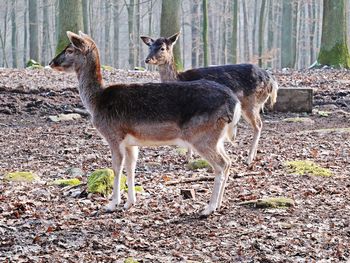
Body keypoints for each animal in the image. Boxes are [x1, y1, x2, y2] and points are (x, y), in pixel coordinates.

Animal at [48, 31, 241, 217]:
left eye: (69, 50)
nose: (51, 62)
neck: (97, 102)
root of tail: (234, 103)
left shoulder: (114, 135)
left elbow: (116, 168)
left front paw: (112, 204)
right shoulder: (131, 142)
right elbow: (131, 167)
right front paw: (129, 203)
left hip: (202, 135)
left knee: (221, 164)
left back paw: (209, 208)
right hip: (217, 137)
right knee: (229, 161)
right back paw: (219, 204)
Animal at [140, 32, 278, 165]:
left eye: (162, 48)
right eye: (150, 47)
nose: (147, 60)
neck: (179, 79)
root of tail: (271, 81)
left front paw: (189, 157)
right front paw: (188, 157)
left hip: (251, 102)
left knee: (258, 124)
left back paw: (248, 159)